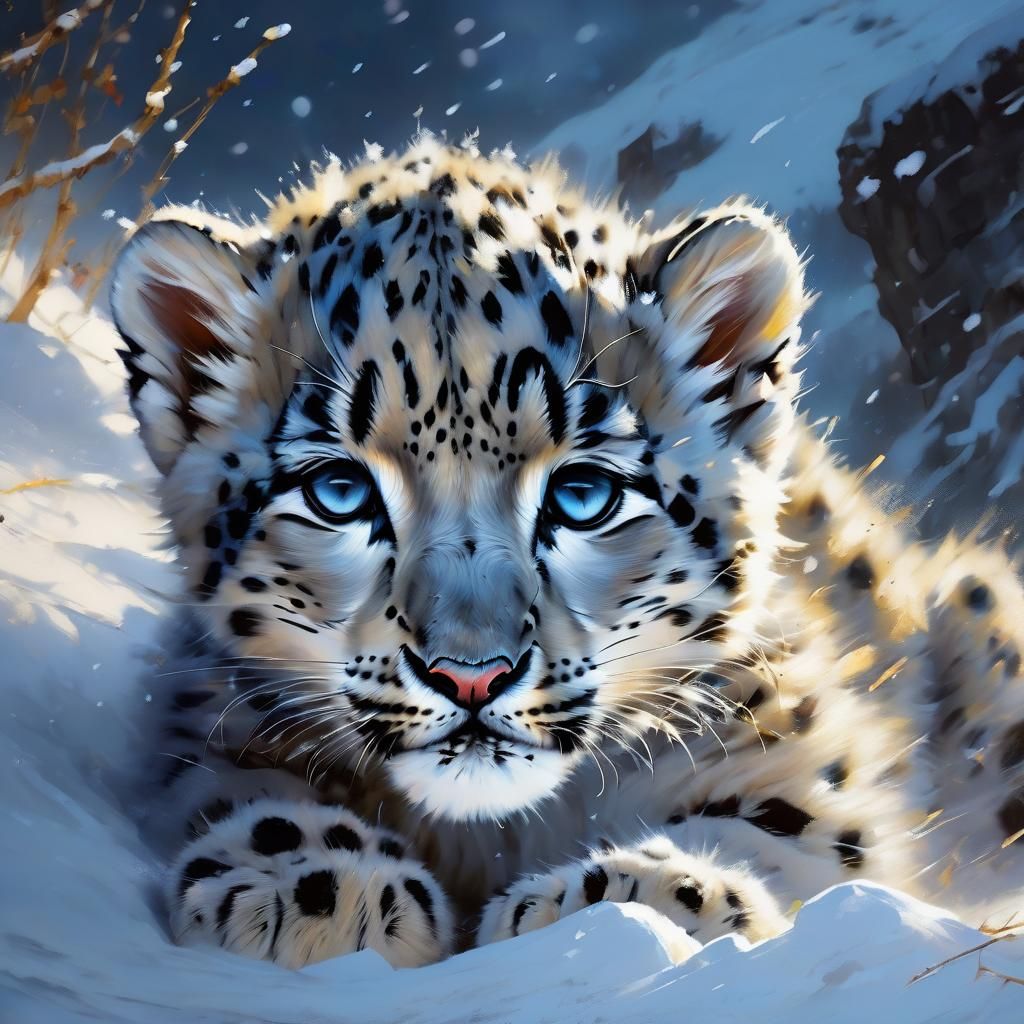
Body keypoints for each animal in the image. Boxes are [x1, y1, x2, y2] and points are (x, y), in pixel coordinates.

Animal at [109, 133, 1024, 970]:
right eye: (339, 490)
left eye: (585, 494)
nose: (470, 676)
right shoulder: (211, 718)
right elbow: (235, 787)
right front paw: (311, 884)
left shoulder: (788, 733)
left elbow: (794, 831)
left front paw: (633, 899)